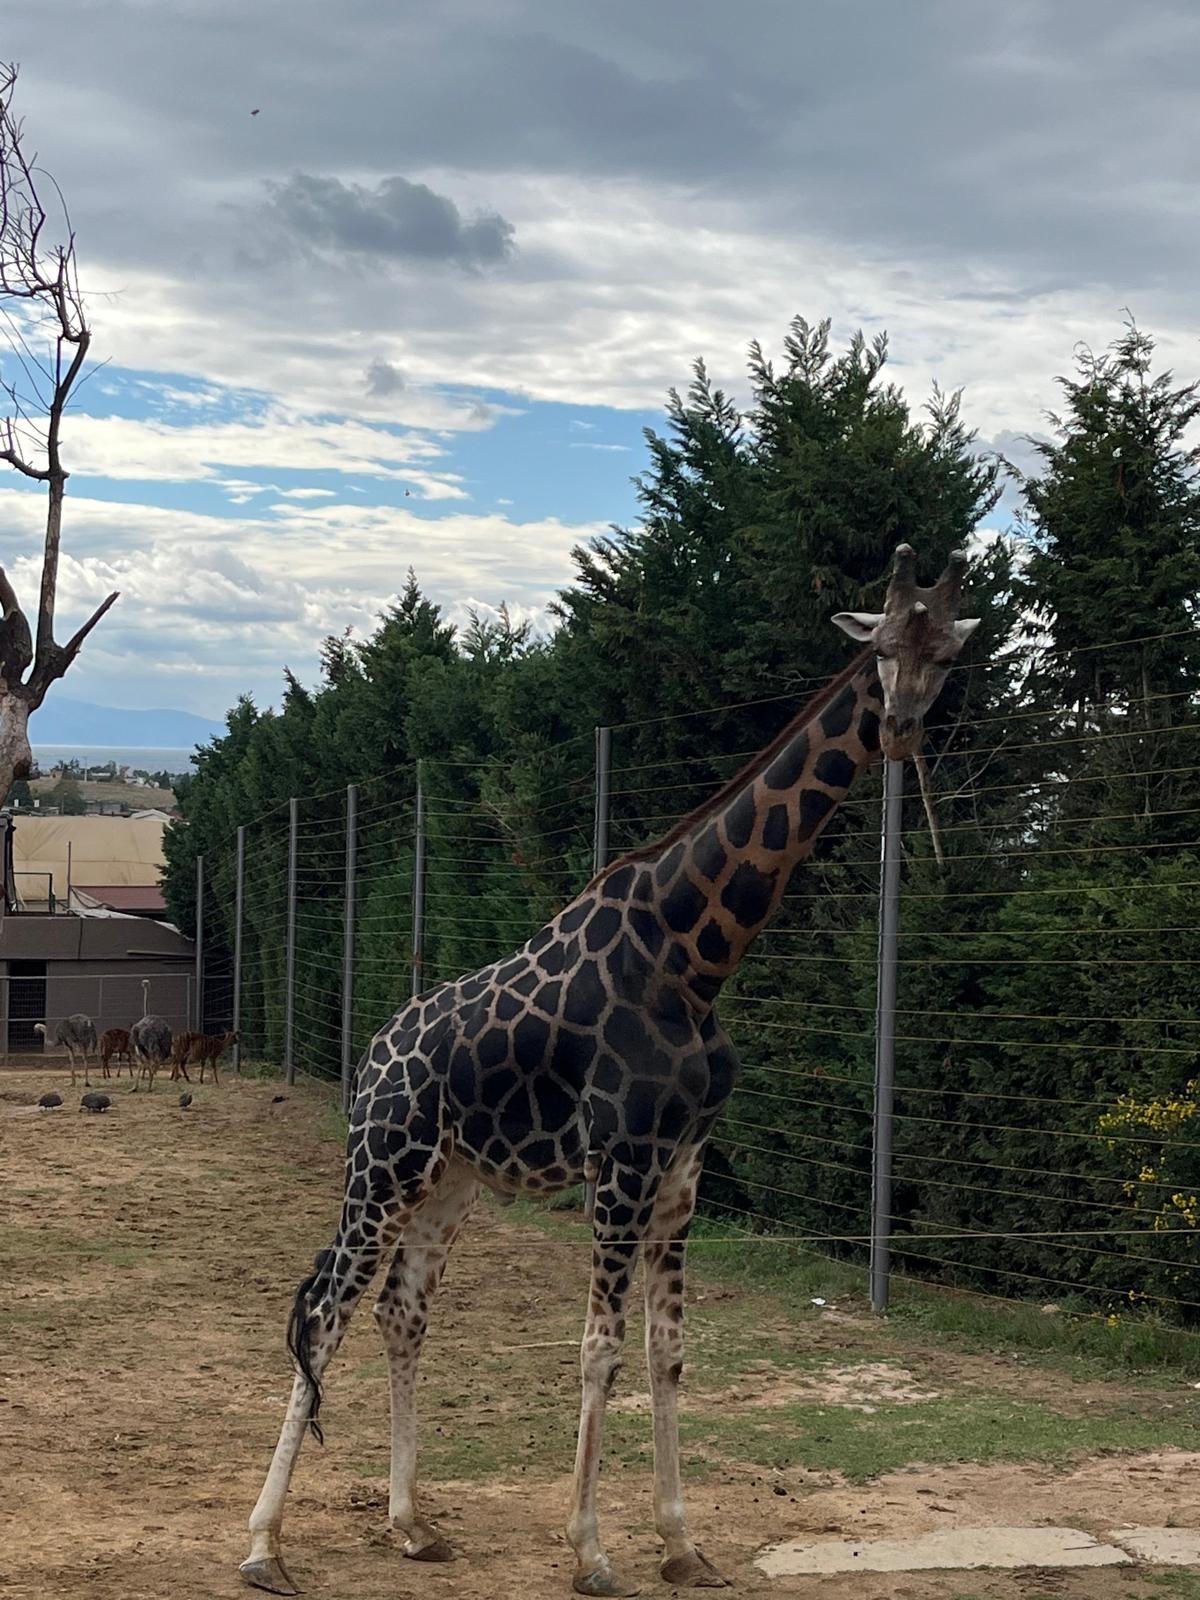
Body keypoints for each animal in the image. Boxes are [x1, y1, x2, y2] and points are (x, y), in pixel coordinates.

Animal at [240, 544, 979, 1593]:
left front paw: (681, 1543)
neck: (696, 957)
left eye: (945, 656)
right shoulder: (621, 1159)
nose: (904, 730)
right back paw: (263, 1545)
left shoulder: (681, 1166)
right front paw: (590, 1551)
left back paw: (411, 1524)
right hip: (380, 1166)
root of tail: (371, 1057)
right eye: (880, 650)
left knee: (400, 1312)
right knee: (324, 1314)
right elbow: (600, 1349)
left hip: (447, 1183)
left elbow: (668, 1351)